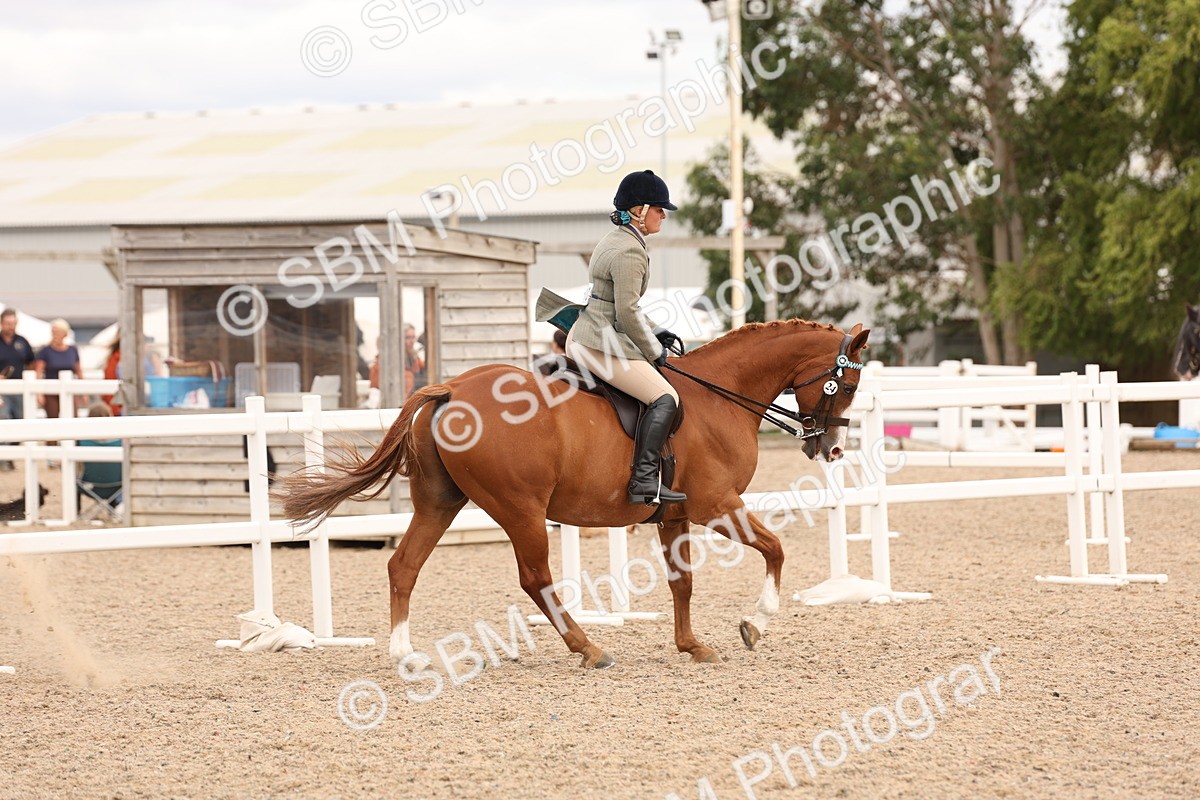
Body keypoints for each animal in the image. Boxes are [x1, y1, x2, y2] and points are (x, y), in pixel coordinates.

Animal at [277, 319, 869, 669]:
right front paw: (754, 625)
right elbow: (775, 549)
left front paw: (692, 645)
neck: (718, 397)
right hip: (521, 508)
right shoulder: (717, 506)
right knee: (535, 577)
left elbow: (682, 583)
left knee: (405, 565)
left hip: (440, 503)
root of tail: (451, 389)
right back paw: (589, 648)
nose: (833, 447)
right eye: (847, 383)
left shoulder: (674, 516)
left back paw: (405, 655)